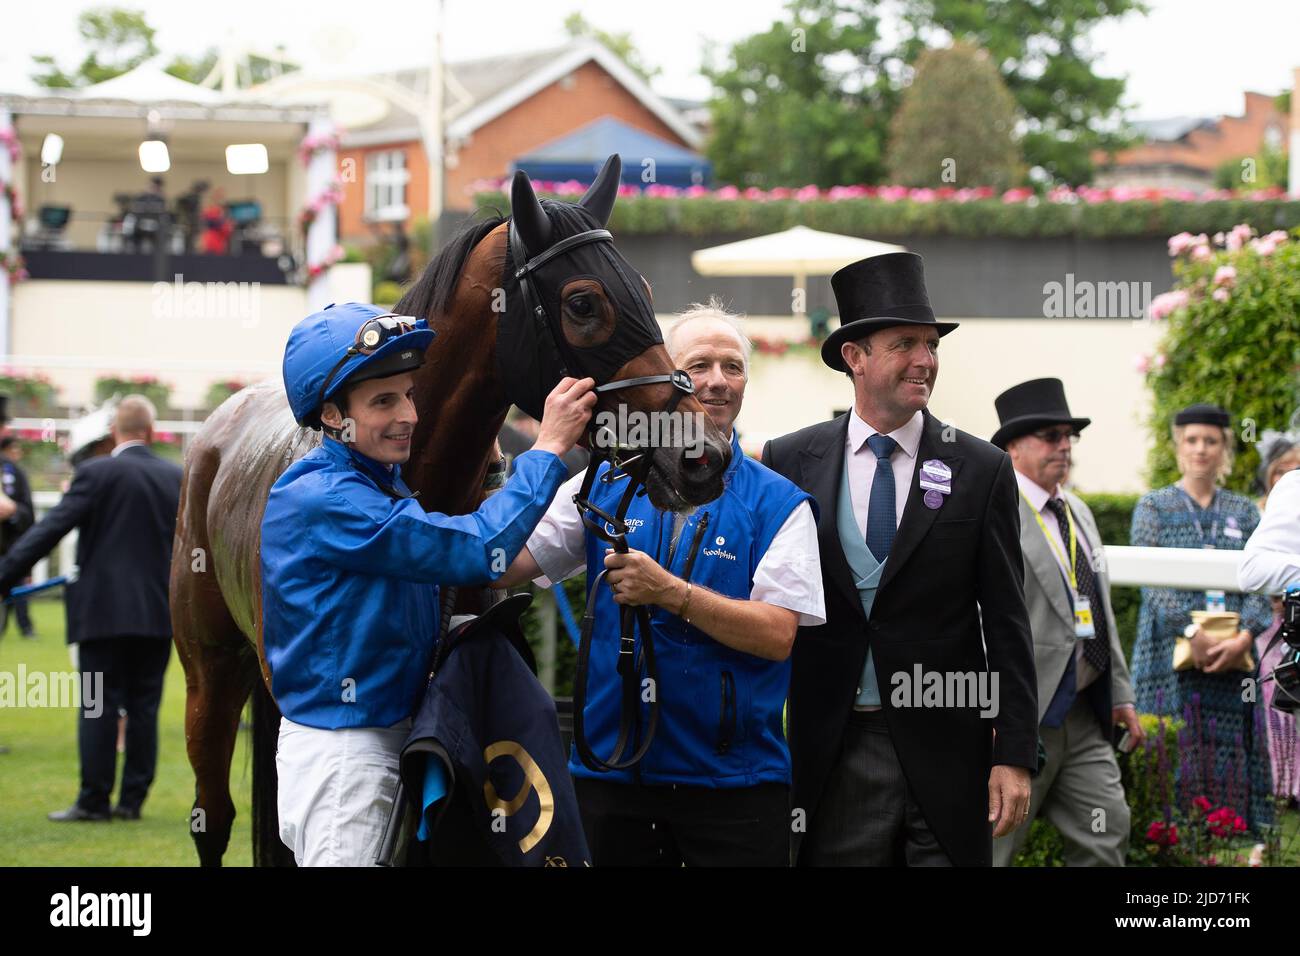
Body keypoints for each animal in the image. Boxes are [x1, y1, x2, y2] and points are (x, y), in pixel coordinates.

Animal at [175, 157, 733, 868]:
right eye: (584, 304)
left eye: (644, 288)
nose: (704, 456)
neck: (420, 487)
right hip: (210, 673)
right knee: (212, 816)